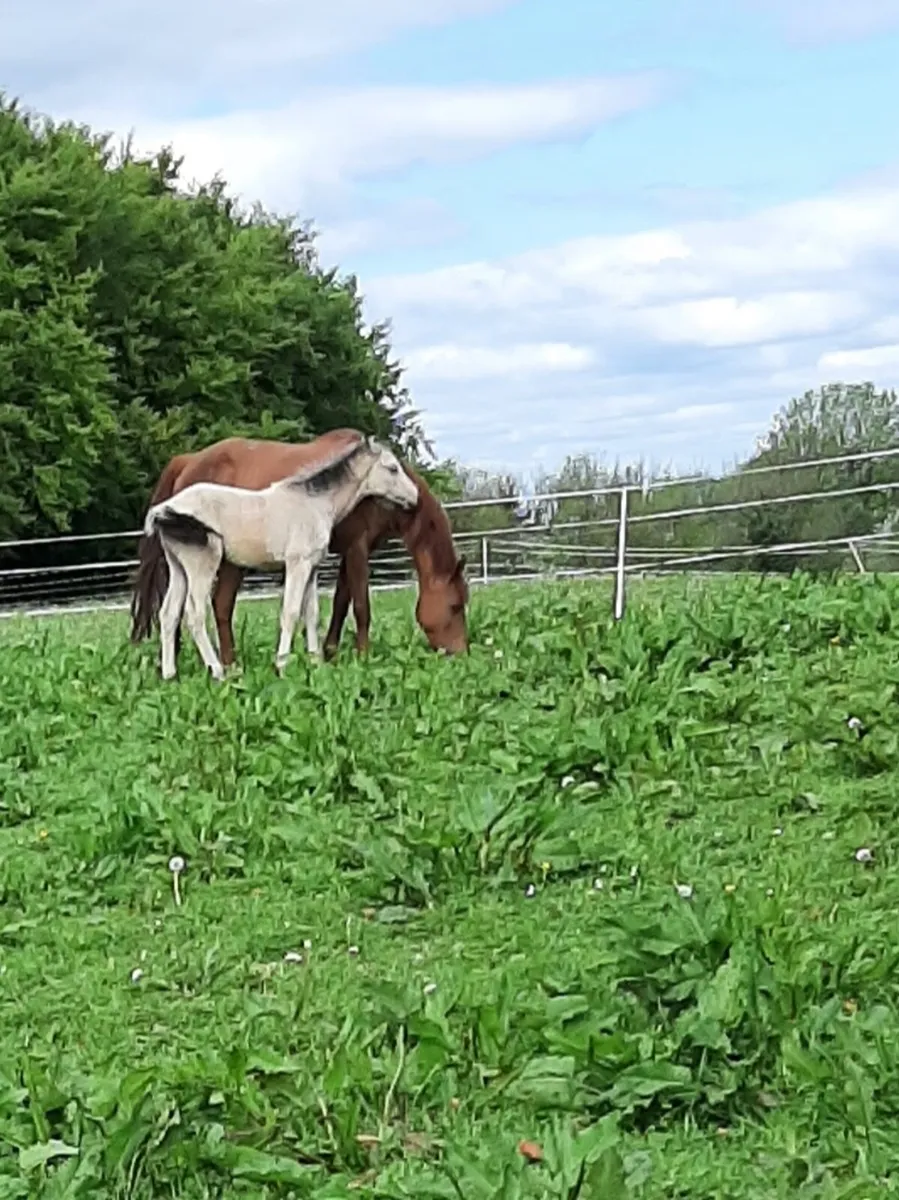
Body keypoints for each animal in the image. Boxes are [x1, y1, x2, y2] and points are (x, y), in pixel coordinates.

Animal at [130, 430, 469, 663]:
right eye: (455, 605)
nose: (460, 652)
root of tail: (185, 461)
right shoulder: (343, 552)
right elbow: (351, 607)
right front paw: (360, 656)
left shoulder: (330, 559)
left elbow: (330, 606)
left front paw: (324, 655)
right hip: (207, 564)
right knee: (198, 611)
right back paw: (216, 668)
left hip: (207, 564)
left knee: (195, 609)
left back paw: (205, 667)